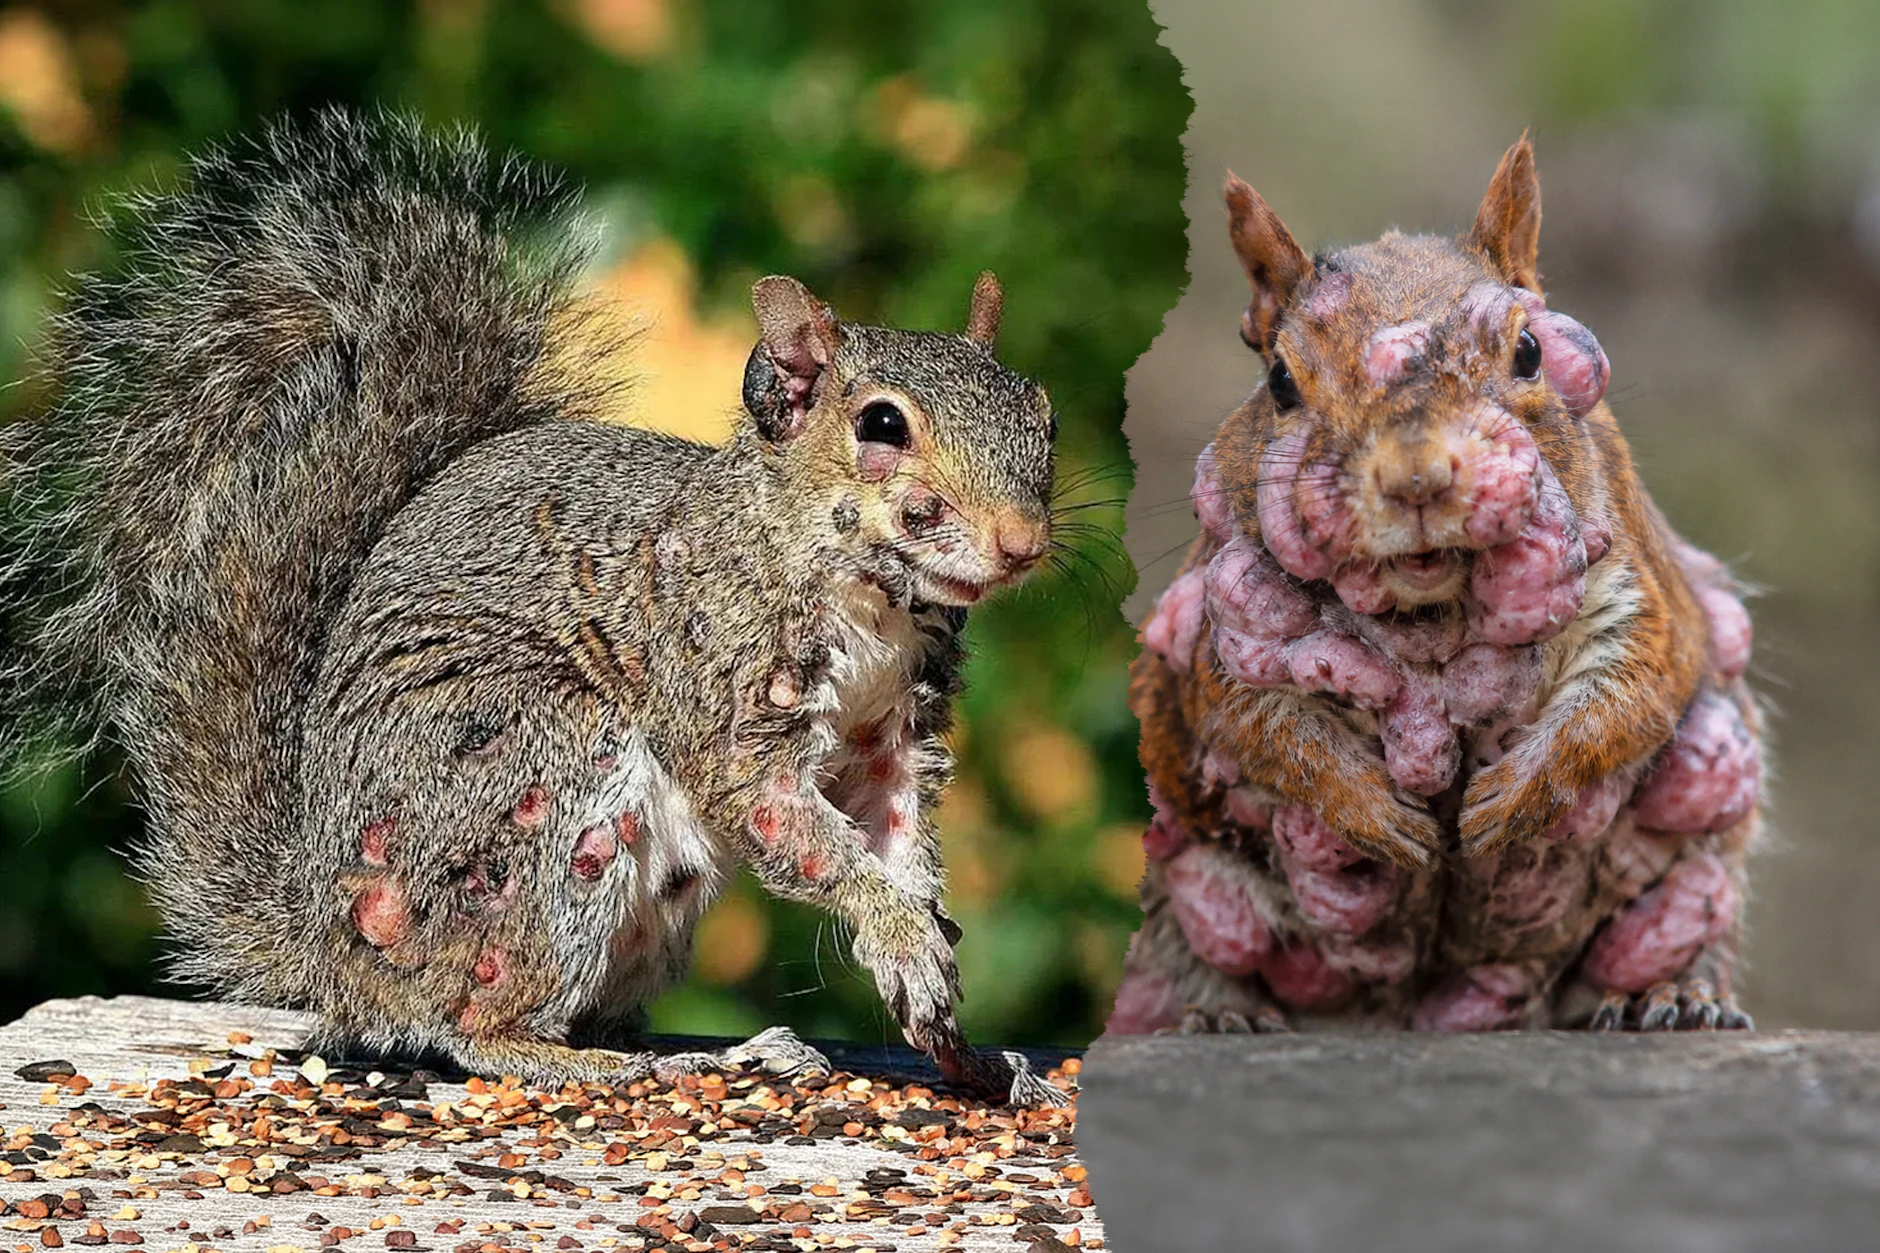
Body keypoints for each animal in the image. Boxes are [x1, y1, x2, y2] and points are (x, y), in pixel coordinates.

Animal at [0, 110, 1062, 1104]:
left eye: (1042, 415)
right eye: (881, 424)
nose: (1020, 541)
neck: (869, 598)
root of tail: (331, 944)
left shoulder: (895, 732)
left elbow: (899, 838)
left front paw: (941, 997)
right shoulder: (723, 692)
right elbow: (796, 827)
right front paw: (901, 933)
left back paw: (716, 1051)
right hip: (540, 779)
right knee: (470, 1027)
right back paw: (611, 1066)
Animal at [1110, 136, 1763, 1035]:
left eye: (1529, 351)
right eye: (1279, 381)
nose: (1416, 478)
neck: (1431, 615)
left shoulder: (1640, 593)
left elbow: (1628, 697)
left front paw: (1512, 798)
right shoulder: (1217, 633)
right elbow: (1263, 731)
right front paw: (1372, 810)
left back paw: (1670, 995)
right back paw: (1216, 1014)